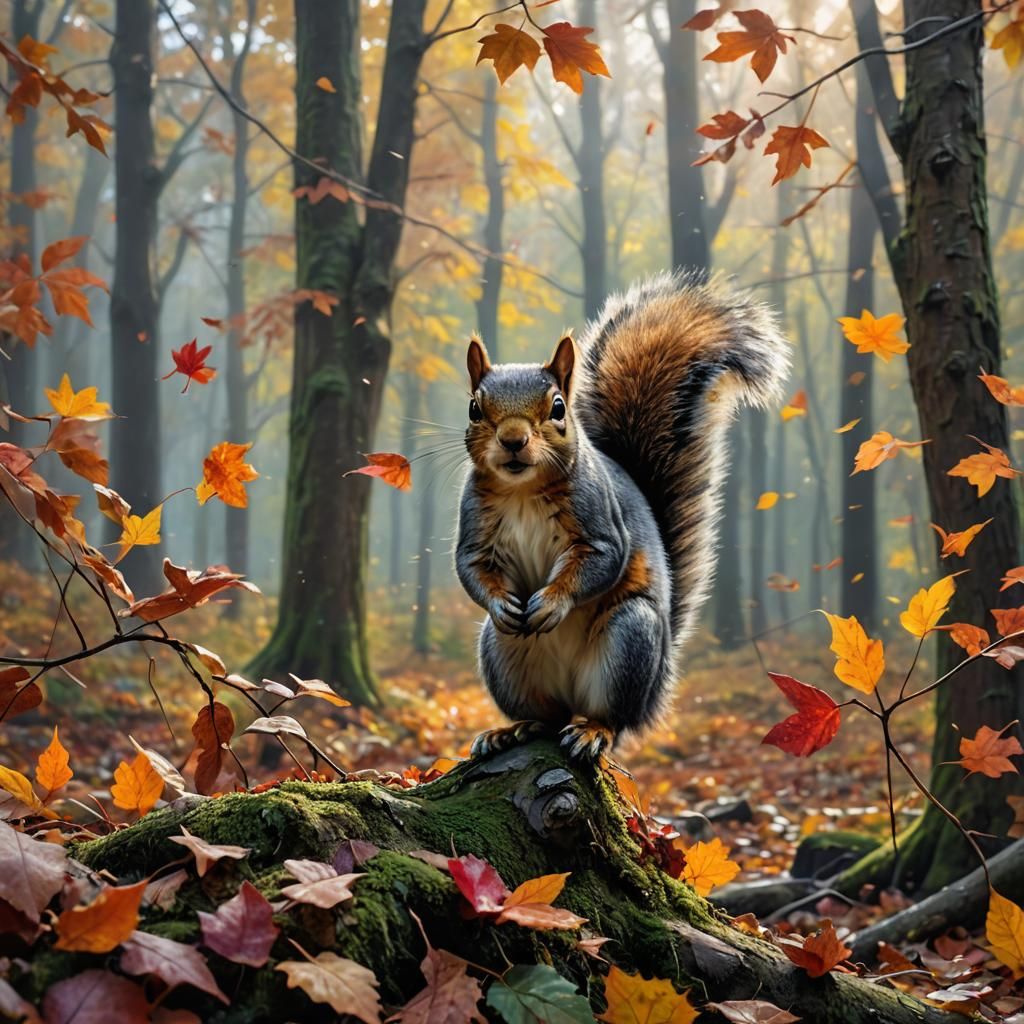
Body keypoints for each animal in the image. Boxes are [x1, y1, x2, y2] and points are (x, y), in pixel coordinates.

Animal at [455, 270, 790, 761]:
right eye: (475, 408)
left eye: (558, 407)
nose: (513, 441)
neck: (523, 491)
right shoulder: (474, 521)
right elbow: (472, 567)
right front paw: (502, 603)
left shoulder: (601, 519)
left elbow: (601, 560)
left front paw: (551, 602)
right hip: (501, 650)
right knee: (546, 715)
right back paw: (513, 729)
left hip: (629, 640)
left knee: (612, 718)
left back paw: (593, 731)